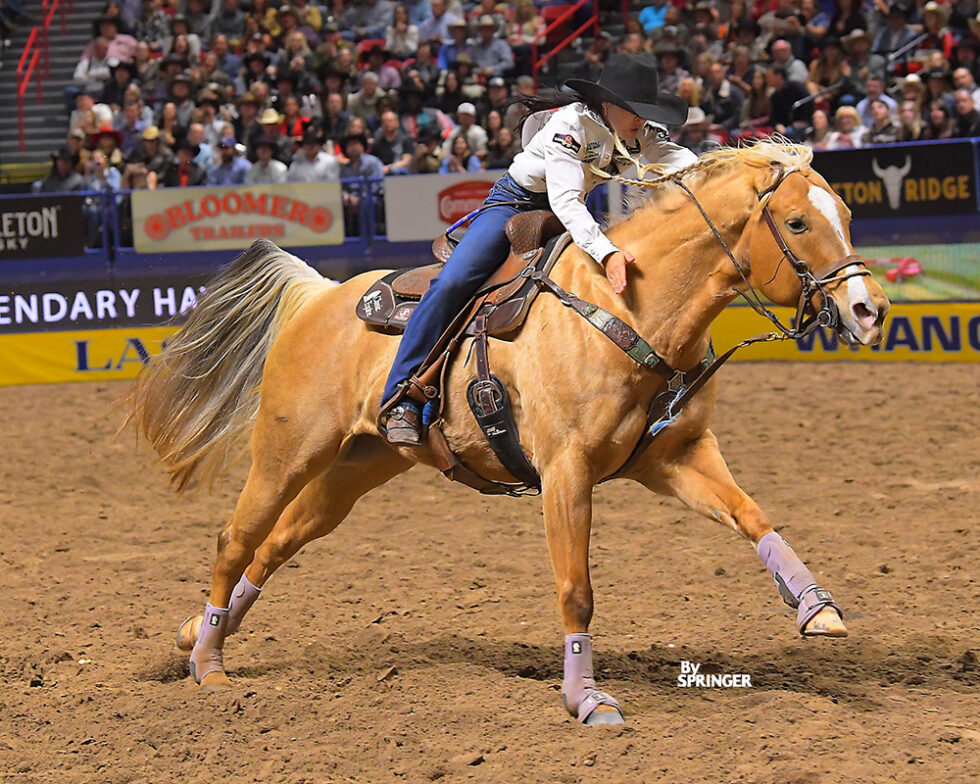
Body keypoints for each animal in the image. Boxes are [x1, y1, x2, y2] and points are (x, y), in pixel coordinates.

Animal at [128, 139, 888, 724]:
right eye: (797, 222)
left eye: (847, 214)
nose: (870, 309)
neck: (626, 304)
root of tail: (320, 296)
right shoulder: (566, 472)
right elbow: (576, 588)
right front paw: (588, 701)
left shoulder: (677, 456)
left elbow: (752, 514)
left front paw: (816, 607)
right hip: (287, 452)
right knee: (236, 539)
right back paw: (209, 665)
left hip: (357, 468)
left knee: (277, 544)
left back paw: (198, 631)